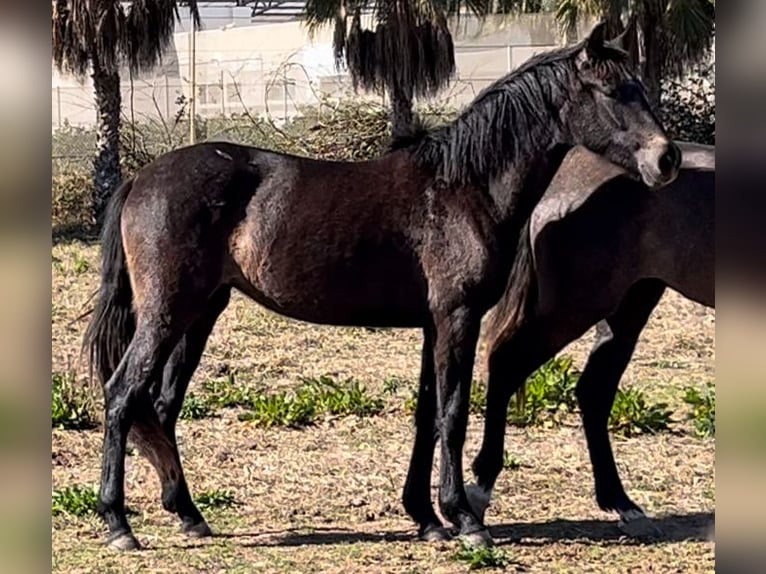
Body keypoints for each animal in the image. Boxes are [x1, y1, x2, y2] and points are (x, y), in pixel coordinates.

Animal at [85, 23, 684, 552]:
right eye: (613, 90)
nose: (667, 159)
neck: (463, 188)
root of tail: (141, 178)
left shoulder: (432, 324)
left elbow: (426, 414)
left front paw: (426, 518)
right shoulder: (457, 318)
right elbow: (452, 413)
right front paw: (465, 519)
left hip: (200, 312)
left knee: (161, 406)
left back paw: (188, 515)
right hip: (167, 313)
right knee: (122, 393)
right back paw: (118, 524)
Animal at [468, 142, 712, 536]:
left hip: (629, 305)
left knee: (593, 392)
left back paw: (623, 504)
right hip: (574, 309)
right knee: (507, 365)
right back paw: (479, 491)